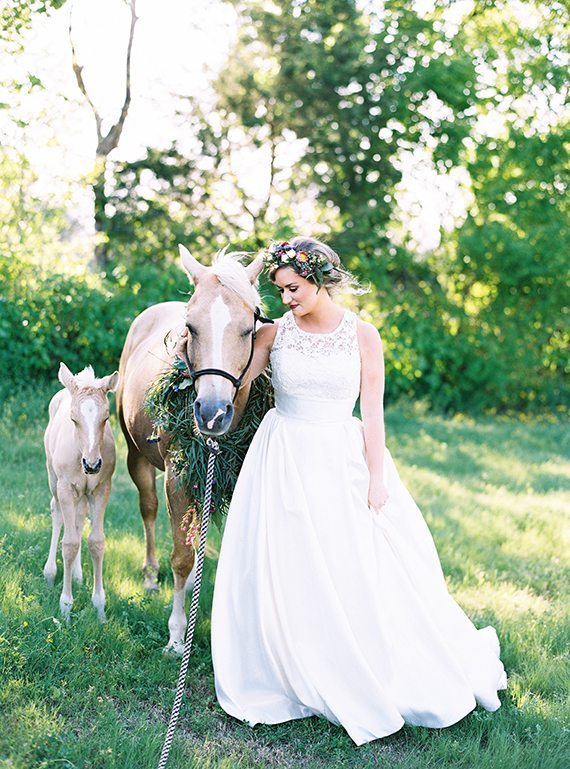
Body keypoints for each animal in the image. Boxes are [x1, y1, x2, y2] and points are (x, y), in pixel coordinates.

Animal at [44, 364, 120, 620]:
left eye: (106, 418)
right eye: (73, 419)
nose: (92, 464)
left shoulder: (101, 489)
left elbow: (96, 542)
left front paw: (100, 609)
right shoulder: (66, 488)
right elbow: (69, 544)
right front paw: (66, 608)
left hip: (83, 495)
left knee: (78, 519)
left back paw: (77, 576)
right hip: (54, 479)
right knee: (57, 513)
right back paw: (49, 574)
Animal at [118, 246, 266, 656]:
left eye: (248, 329)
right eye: (191, 327)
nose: (212, 412)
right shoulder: (178, 479)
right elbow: (182, 558)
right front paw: (176, 634)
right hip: (137, 459)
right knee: (149, 509)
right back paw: (151, 576)